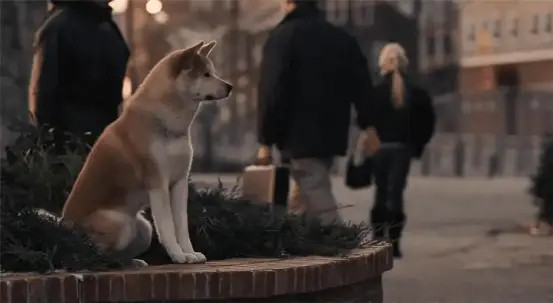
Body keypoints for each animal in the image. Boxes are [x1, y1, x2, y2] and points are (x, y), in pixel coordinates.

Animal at [61, 41, 232, 266]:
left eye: (212, 73)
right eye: (206, 75)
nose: (230, 86)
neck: (167, 124)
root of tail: (63, 226)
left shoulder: (179, 182)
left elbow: (182, 226)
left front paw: (190, 253)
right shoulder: (158, 183)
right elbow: (167, 226)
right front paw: (178, 256)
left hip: (144, 229)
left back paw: (132, 263)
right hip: (120, 224)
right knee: (96, 252)